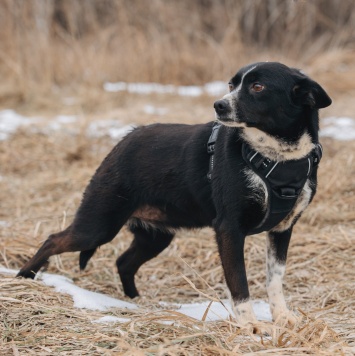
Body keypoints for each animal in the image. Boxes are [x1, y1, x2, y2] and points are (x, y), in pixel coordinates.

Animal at [18, 62, 332, 328]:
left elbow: (275, 280)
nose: (218, 105)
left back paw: (136, 301)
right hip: (98, 225)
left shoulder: (282, 229)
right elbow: (239, 284)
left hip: (156, 236)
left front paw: (282, 317)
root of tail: (124, 140)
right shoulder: (229, 229)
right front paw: (249, 325)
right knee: (53, 239)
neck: (277, 156)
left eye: (257, 87)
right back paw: (24, 279)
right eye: (231, 84)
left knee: (124, 262)